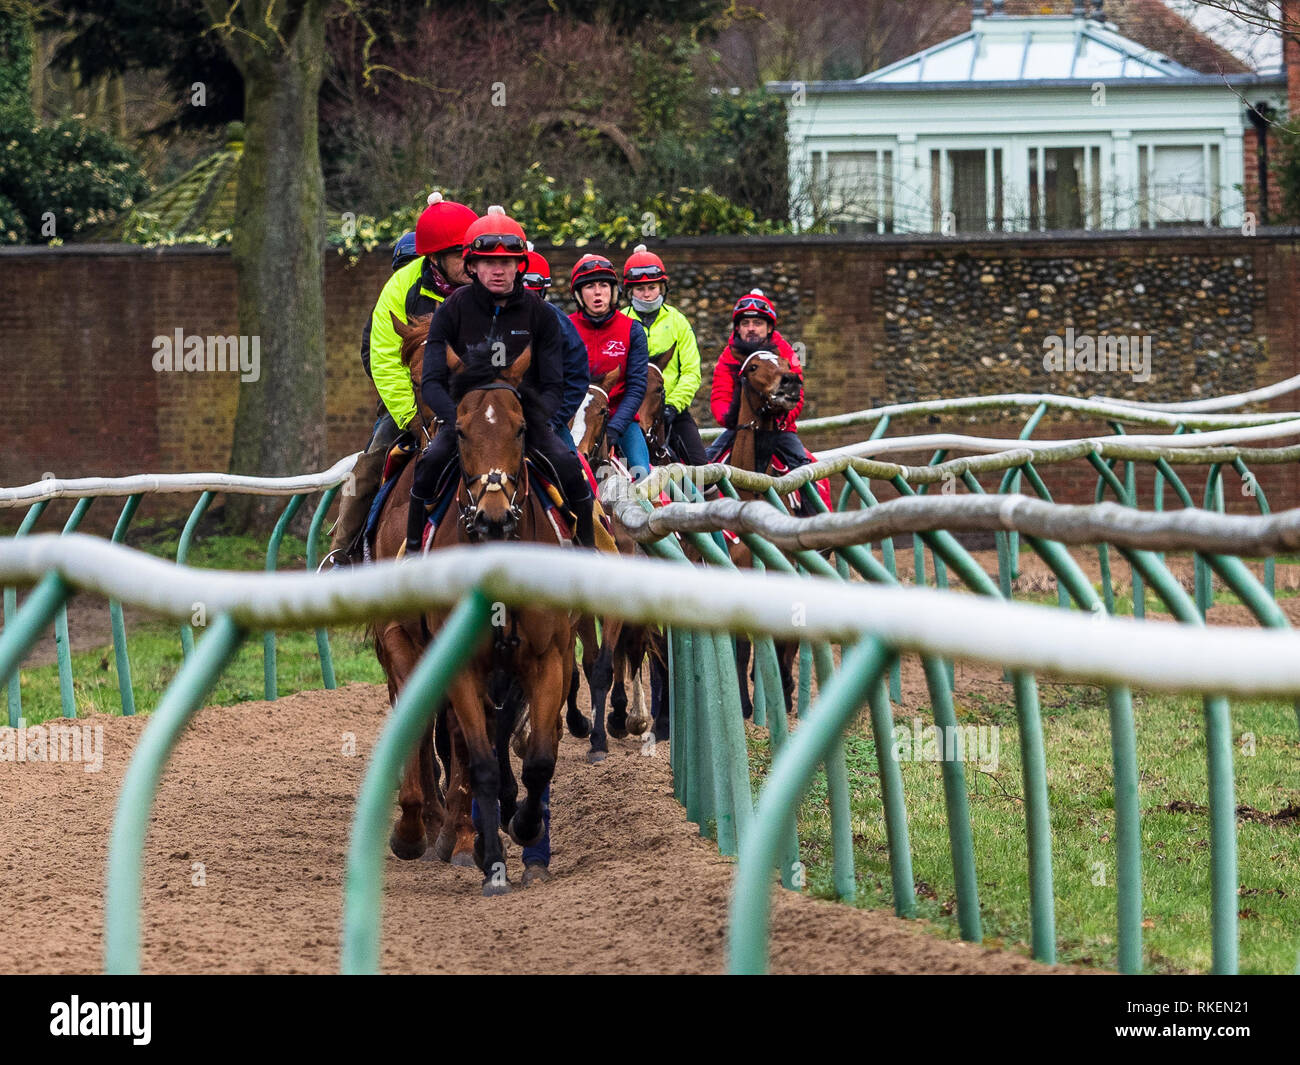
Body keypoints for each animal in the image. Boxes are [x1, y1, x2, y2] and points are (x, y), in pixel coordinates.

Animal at [369, 312, 572, 894]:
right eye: (413, 378)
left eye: (521, 427)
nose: (494, 514)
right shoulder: (407, 640)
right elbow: (436, 734)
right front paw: (421, 833)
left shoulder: (545, 656)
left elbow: (535, 757)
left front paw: (503, 833)